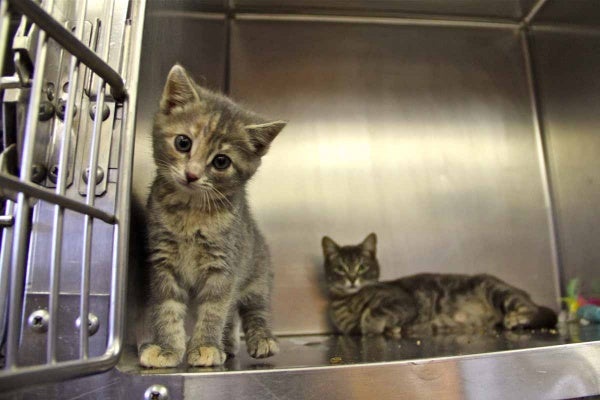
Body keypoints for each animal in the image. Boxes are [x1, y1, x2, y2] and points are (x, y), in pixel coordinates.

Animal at [139, 64, 284, 368]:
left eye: (221, 161)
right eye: (183, 142)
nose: (192, 174)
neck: (190, 212)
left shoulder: (224, 266)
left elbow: (215, 309)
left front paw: (205, 345)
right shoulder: (162, 261)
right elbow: (166, 307)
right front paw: (167, 348)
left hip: (258, 273)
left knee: (254, 308)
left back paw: (261, 338)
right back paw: (227, 344)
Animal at [324, 233, 556, 336]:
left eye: (362, 267)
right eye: (340, 268)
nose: (352, 279)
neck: (349, 300)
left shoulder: (403, 302)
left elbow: (372, 313)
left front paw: (372, 326)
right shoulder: (349, 329)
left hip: (495, 289)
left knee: (534, 310)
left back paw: (516, 318)